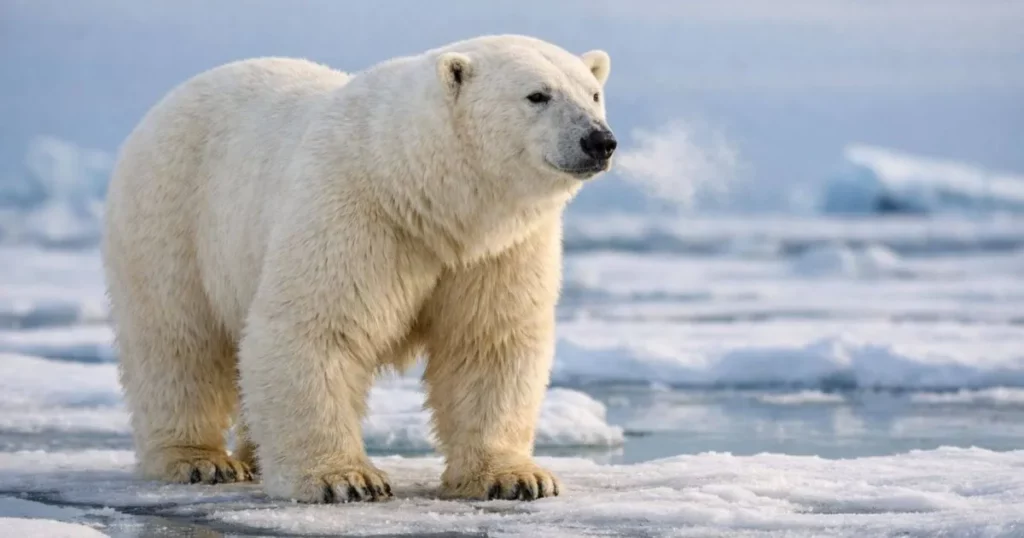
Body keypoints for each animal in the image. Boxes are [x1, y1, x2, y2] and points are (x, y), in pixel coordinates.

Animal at [101, 34, 616, 503]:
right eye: (538, 95)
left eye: (592, 93)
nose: (600, 140)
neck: (418, 190)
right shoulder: (354, 212)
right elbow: (315, 329)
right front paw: (345, 479)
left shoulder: (498, 250)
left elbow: (488, 343)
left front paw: (516, 478)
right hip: (172, 215)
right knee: (178, 341)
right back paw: (198, 460)